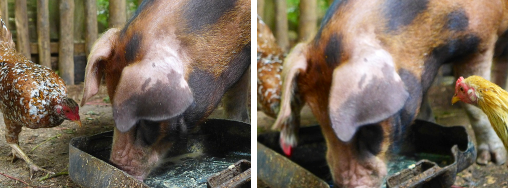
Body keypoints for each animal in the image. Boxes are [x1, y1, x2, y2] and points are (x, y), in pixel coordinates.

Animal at [274, 0, 508, 187]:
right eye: (321, 120)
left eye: (367, 127)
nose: (348, 184)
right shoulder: (417, 77)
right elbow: (422, 105)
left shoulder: (481, 41)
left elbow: (475, 110)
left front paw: (492, 160)